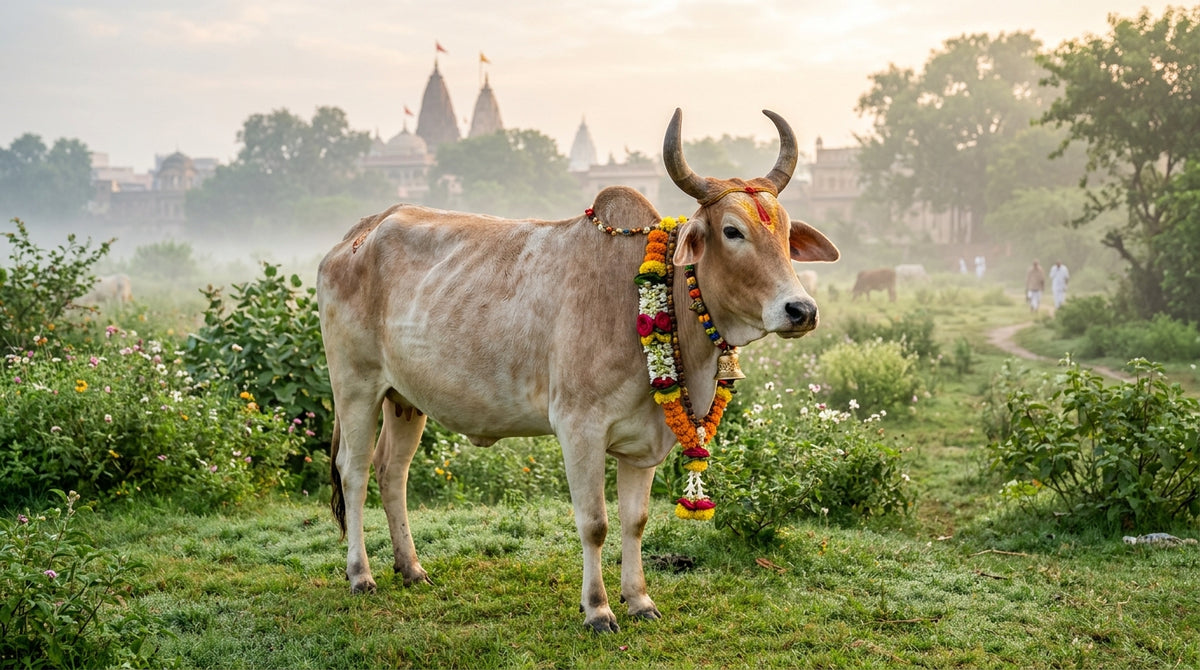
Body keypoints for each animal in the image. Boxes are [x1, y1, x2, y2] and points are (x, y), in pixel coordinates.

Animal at [316, 109, 839, 633]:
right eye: (732, 231)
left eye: (786, 234)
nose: (801, 310)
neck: (645, 300)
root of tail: (360, 231)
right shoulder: (579, 428)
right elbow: (595, 524)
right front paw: (598, 608)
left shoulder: (643, 442)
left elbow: (635, 521)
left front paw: (639, 600)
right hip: (355, 385)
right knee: (354, 471)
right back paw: (361, 575)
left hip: (405, 399)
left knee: (392, 472)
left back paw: (411, 568)